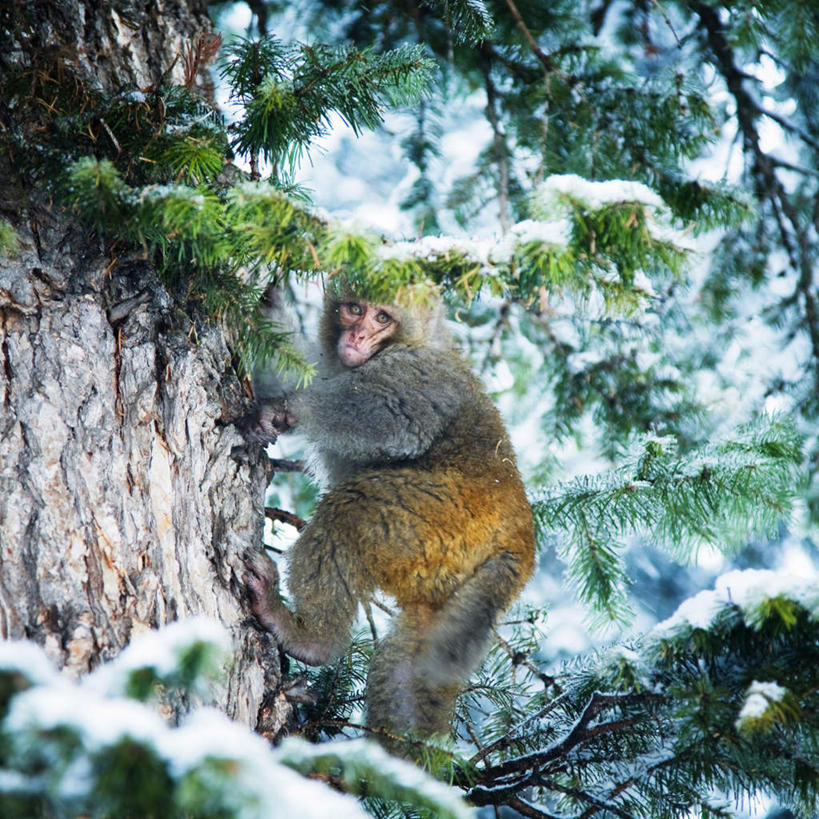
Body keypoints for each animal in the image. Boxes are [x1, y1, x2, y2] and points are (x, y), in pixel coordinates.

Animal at [243, 286, 540, 744]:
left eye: (382, 317)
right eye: (354, 309)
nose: (357, 337)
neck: (415, 341)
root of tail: (522, 543)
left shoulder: (418, 373)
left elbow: (396, 416)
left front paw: (290, 411)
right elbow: (306, 371)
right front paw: (270, 305)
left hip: (439, 518)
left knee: (351, 511)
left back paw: (309, 637)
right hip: (443, 574)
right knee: (413, 664)